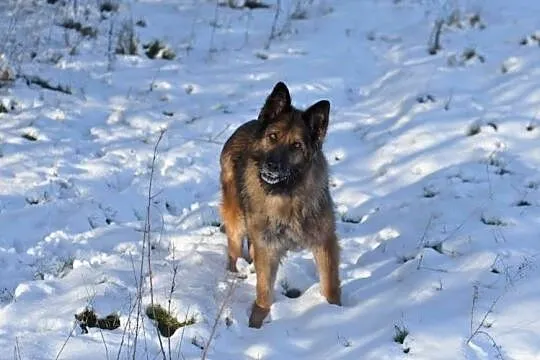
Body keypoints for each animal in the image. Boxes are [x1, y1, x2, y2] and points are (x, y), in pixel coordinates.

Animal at [219, 81, 342, 330]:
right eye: (273, 136)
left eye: (296, 145)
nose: (272, 166)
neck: (286, 196)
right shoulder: (267, 247)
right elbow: (264, 292)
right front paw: (256, 323)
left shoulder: (324, 241)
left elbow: (329, 285)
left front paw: (337, 312)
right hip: (237, 220)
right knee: (234, 252)